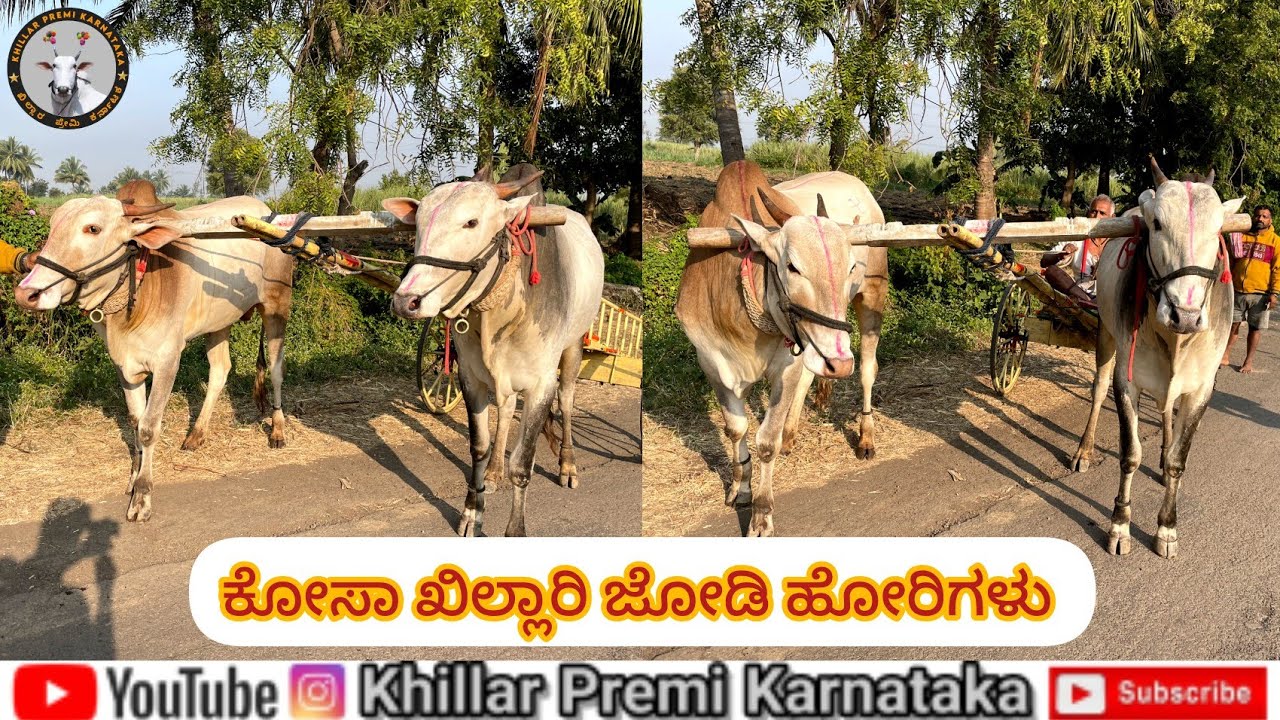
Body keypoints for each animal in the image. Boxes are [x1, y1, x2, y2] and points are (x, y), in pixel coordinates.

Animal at [14, 180, 294, 522]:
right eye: (53, 225)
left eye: (92, 228)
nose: (27, 293)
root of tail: (266, 211)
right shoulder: (125, 367)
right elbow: (136, 423)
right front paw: (133, 479)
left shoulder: (167, 362)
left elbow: (148, 428)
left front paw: (142, 496)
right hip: (219, 322)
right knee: (220, 370)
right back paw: (197, 434)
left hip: (277, 307)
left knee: (276, 369)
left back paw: (278, 430)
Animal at [382, 166, 604, 537]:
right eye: (418, 223)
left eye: (471, 222)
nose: (406, 301)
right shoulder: (471, 379)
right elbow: (479, 448)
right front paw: (472, 512)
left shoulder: (541, 384)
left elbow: (523, 465)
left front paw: (515, 529)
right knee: (507, 407)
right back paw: (496, 470)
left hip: (574, 346)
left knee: (568, 402)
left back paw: (567, 463)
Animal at [674, 161, 887, 536]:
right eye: (792, 266)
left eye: (850, 266)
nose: (839, 364)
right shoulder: (712, 362)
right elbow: (736, 429)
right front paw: (741, 488)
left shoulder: (786, 364)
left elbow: (766, 442)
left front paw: (762, 513)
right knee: (812, 378)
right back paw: (793, 432)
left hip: (870, 298)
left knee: (866, 370)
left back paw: (865, 438)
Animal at [1071, 157, 1242, 558]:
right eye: (1157, 224)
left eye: (1219, 230)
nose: (1187, 315)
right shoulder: (1127, 380)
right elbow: (1130, 453)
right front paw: (1120, 525)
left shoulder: (1202, 389)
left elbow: (1181, 460)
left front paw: (1166, 528)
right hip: (1105, 336)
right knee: (1097, 390)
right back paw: (1084, 451)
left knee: (1166, 412)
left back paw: (1162, 458)